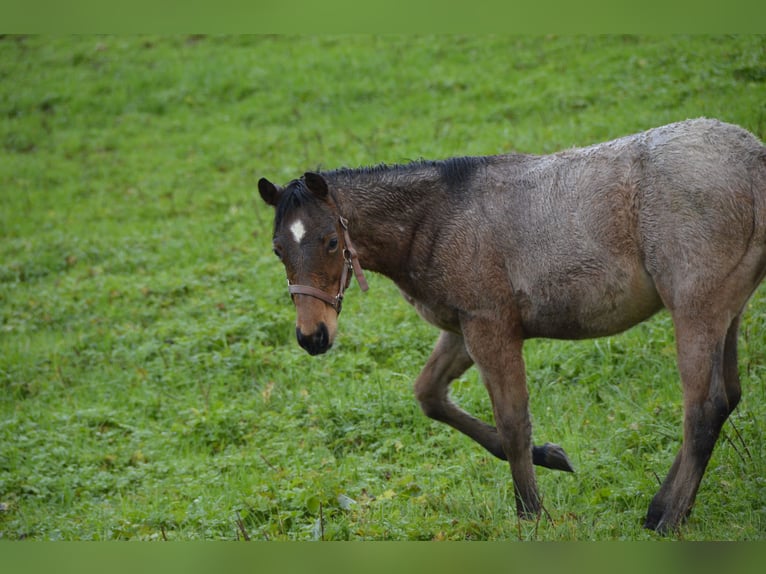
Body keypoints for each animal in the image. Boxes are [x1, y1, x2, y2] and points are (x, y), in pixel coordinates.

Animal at [258, 119, 766, 536]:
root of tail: (754, 161)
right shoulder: (463, 330)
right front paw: (551, 457)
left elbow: (512, 421)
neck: (440, 218)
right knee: (726, 399)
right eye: (278, 249)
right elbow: (430, 395)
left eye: (330, 242)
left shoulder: (491, 328)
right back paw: (661, 507)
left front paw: (531, 514)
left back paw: (667, 518)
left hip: (694, 308)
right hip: (726, 311)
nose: (312, 336)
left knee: (703, 408)